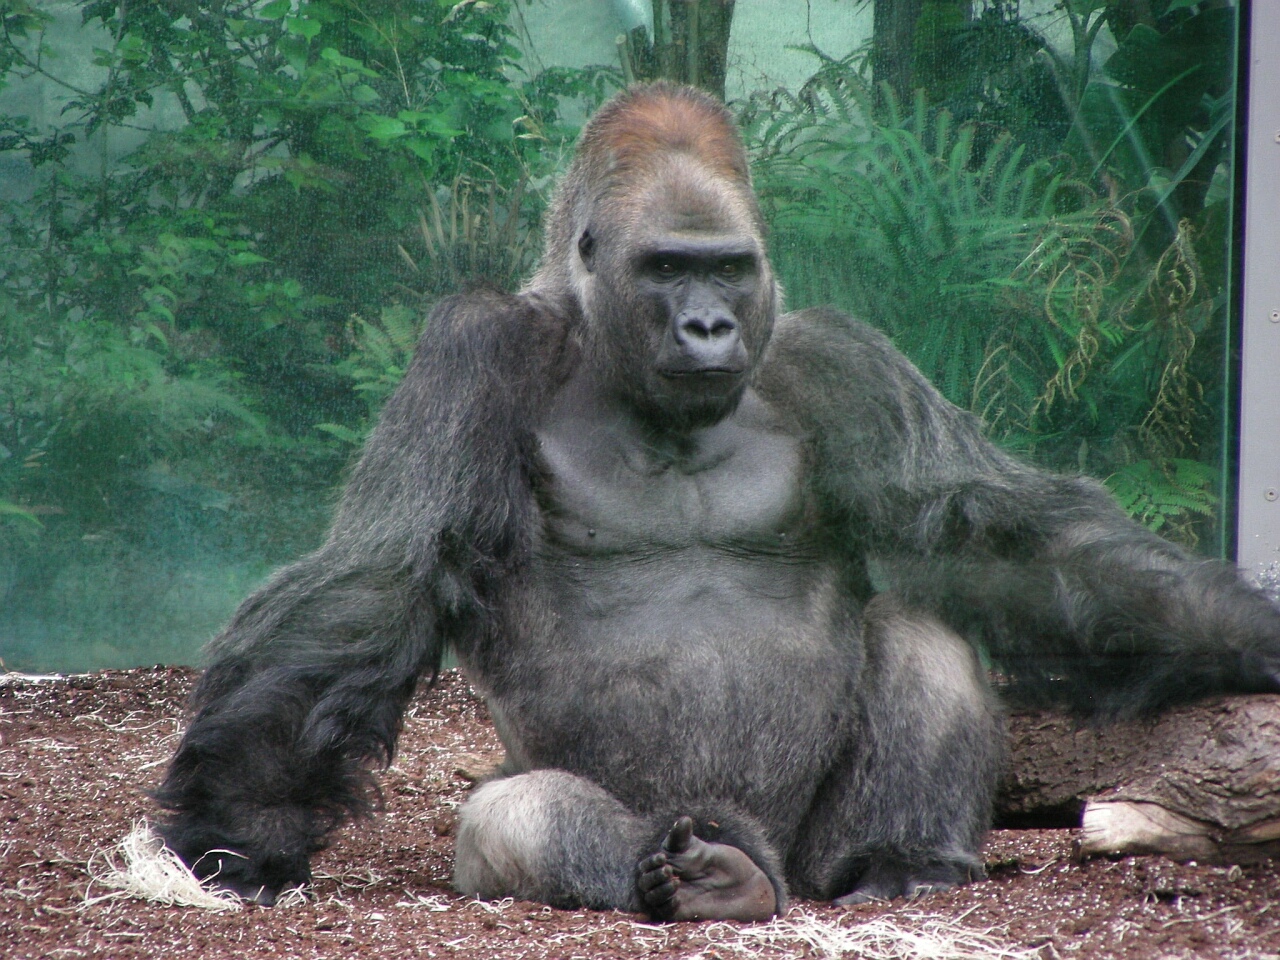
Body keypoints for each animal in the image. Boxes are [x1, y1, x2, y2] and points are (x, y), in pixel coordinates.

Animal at [153, 83, 1280, 919]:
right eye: (665, 268)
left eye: (728, 269)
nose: (706, 327)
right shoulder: (474, 348)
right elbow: (380, 574)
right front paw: (236, 827)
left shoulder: (838, 358)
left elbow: (988, 529)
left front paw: (1238, 630)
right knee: (516, 814)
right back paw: (696, 874)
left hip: (813, 851)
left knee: (918, 629)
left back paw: (897, 858)